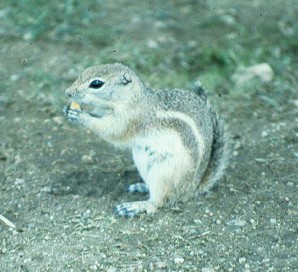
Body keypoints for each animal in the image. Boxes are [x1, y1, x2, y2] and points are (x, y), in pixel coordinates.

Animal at [64, 62, 229, 218]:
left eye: (96, 83)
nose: (68, 93)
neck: (132, 98)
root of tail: (192, 189)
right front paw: (69, 111)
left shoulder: (130, 119)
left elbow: (111, 130)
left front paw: (81, 116)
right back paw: (141, 187)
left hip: (164, 174)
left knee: (160, 202)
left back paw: (136, 206)